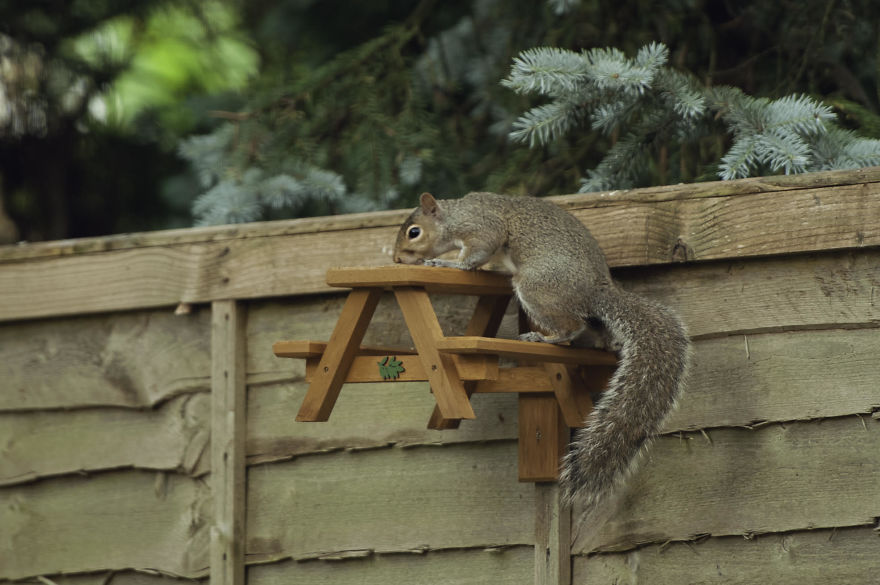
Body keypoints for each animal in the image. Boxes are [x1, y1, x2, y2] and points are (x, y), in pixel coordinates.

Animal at [393, 191, 690, 525]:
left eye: (414, 232)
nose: (397, 260)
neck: (456, 215)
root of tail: (596, 290)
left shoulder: (482, 227)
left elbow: (476, 253)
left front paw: (445, 262)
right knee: (595, 331)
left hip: (536, 286)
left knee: (571, 326)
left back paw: (543, 337)